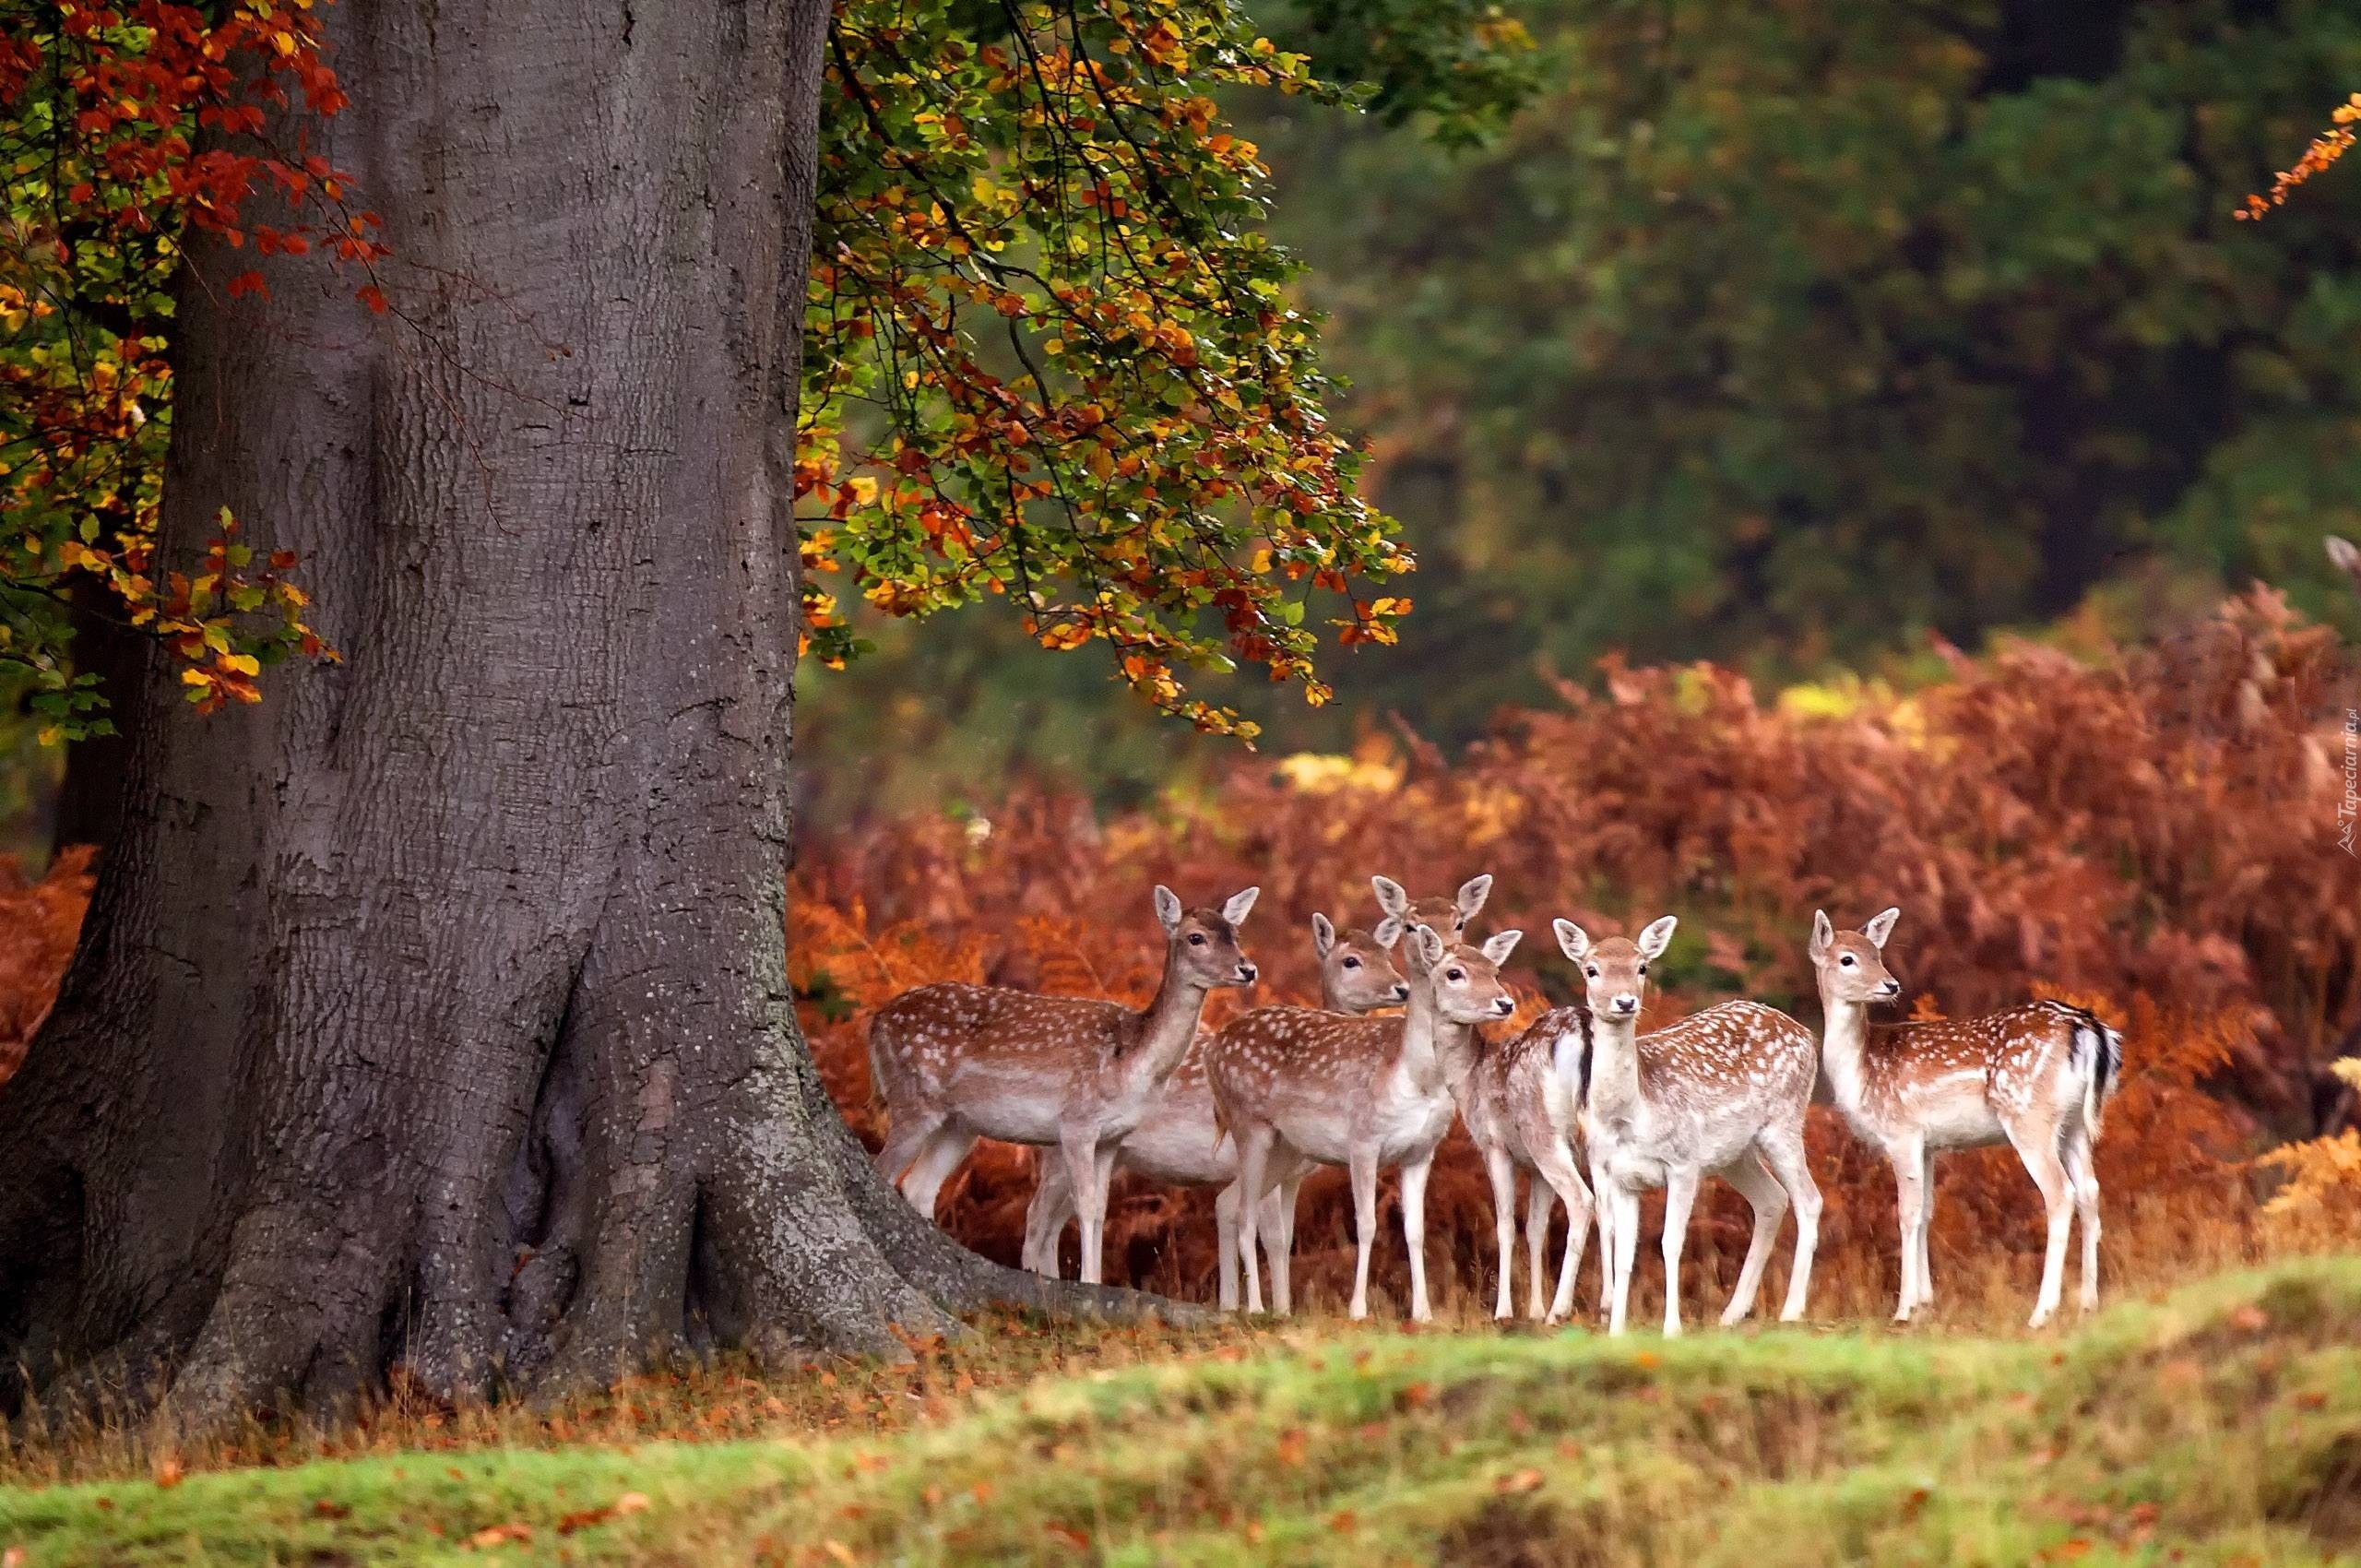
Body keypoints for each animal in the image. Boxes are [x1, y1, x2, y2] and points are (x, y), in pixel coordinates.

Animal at [869, 883, 1265, 1284]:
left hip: (960, 1125)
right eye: (1195, 937)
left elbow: (1101, 1209)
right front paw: (1090, 1282)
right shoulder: (1077, 1122)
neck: (1133, 1062)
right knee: (885, 1170)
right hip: (912, 1098)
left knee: (919, 1185)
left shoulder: (1112, 1137)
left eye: (1235, 934)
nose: (1247, 968)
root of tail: (876, 1022)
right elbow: (1085, 1205)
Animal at [1014, 907, 1397, 1313]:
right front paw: (1275, 1311)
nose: (1400, 988)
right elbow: (1273, 1235)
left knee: (1056, 1221)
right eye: (1351, 960)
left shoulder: (1291, 1174)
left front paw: (1244, 1305)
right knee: (1037, 1216)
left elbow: (1271, 1228)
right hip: (1061, 1147)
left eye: (1388, 955)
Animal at [1208, 921, 1520, 1322]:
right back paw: (1257, 1308)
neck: (1416, 1079)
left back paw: (1244, 1306)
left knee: (1229, 1202)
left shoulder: (1421, 1151)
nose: (1505, 1002)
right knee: (1246, 1213)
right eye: (1455, 973)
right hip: (1249, 1124)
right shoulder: (1363, 1141)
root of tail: (1213, 1048)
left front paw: (1422, 1313)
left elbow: (1415, 1229)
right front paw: (1357, 1309)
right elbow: (1367, 1224)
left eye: (1495, 971)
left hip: (1287, 1148)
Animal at [1567, 921, 1822, 1331]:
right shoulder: (1619, 1176)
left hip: (1784, 1121)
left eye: (1642, 967)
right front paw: (1616, 1330)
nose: (1625, 1002)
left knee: (1809, 1199)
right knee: (1772, 1199)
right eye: (1592, 969)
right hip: (1734, 1154)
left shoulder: (1683, 1162)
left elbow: (1671, 1243)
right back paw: (1732, 1313)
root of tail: (1807, 1035)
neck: (1632, 1116)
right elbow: (1623, 1252)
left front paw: (1672, 1328)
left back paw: (1791, 1310)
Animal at [1813, 907, 2134, 1322]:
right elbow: (1927, 1213)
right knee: (2090, 1190)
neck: (1861, 1072)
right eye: (1848, 959)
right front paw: (1925, 1303)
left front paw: (1903, 1310)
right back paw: (2088, 1304)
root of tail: (2089, 1029)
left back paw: (2041, 1312)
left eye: (1877, 954)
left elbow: (1906, 1214)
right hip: (2074, 1123)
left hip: (2028, 1114)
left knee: (2060, 1193)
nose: (1891, 985)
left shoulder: (1901, 1131)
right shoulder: (1928, 1145)